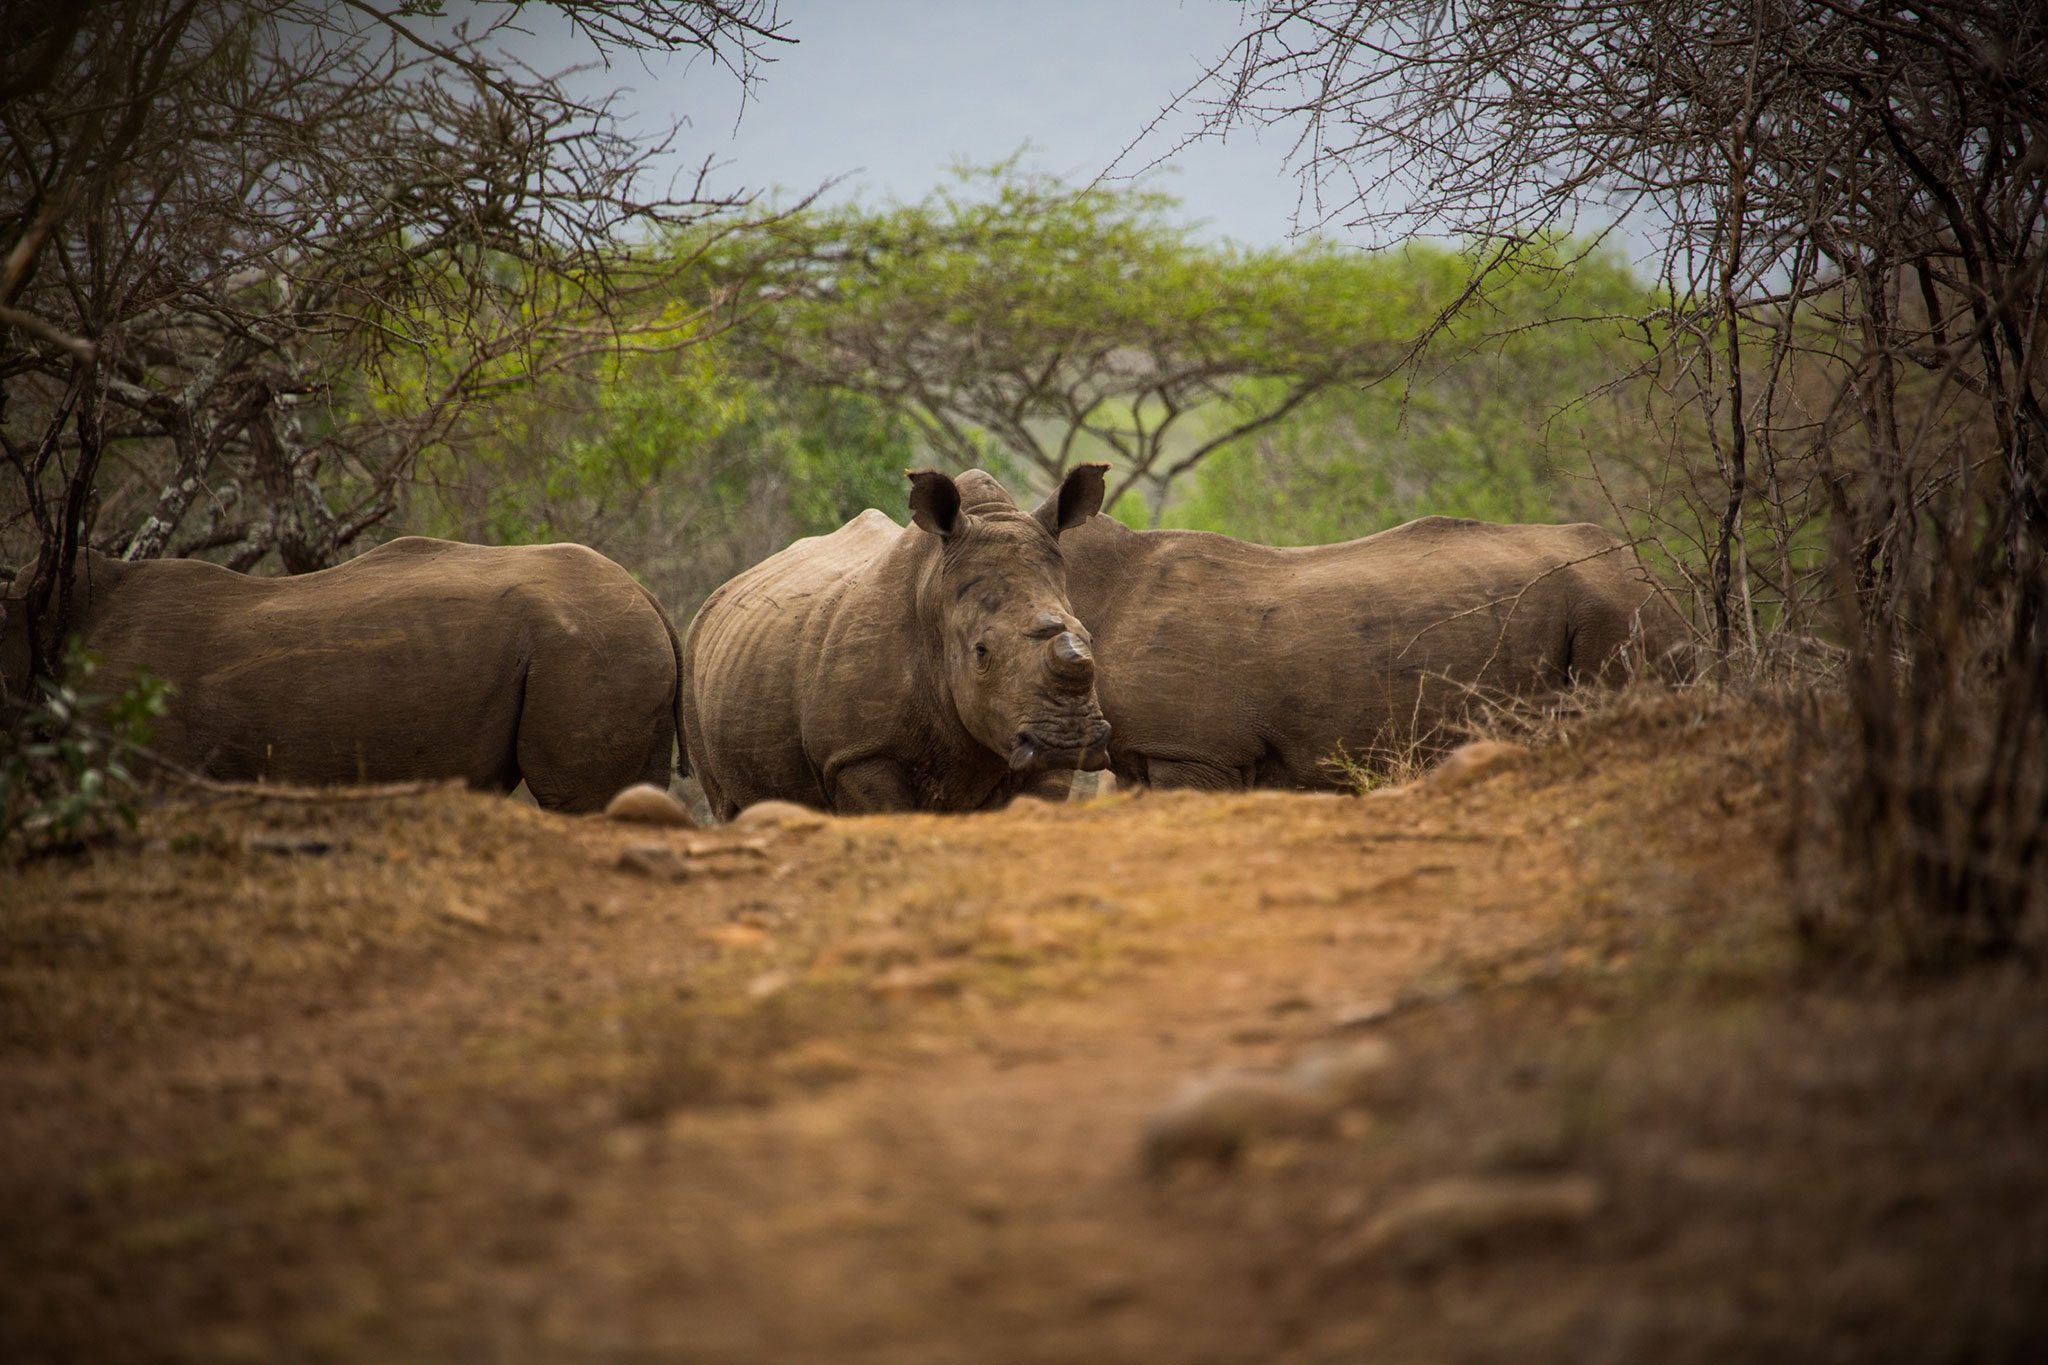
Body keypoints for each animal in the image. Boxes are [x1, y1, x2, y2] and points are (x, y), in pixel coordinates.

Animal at [679, 464, 1114, 818]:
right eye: (980, 652)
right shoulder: (858, 756)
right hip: (695, 659)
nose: (1070, 740)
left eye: (1090, 638)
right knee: (726, 804)